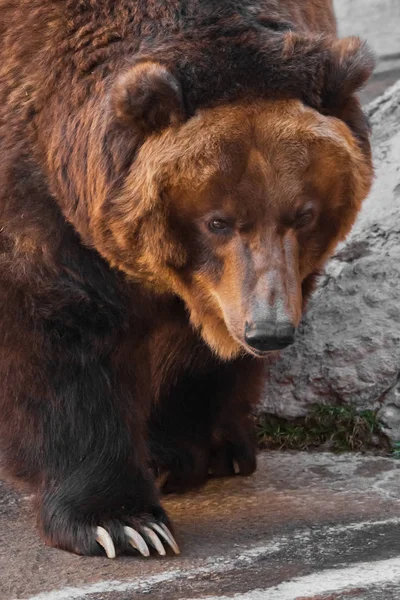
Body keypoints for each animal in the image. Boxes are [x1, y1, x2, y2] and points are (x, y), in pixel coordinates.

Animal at [0, 0, 374, 556]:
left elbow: (191, 349)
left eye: (303, 213)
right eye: (217, 220)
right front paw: (123, 523)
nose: (268, 331)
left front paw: (182, 451)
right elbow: (60, 328)